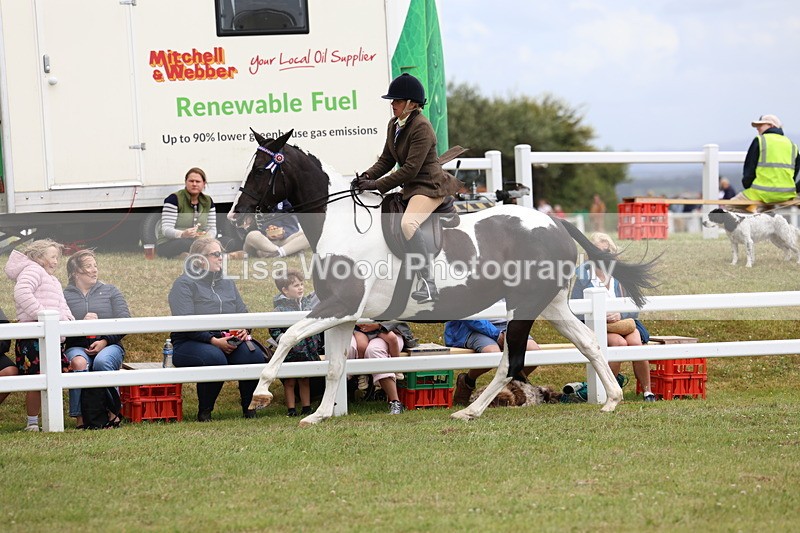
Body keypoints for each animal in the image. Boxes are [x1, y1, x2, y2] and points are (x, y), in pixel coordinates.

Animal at [229, 129, 657, 427]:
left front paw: (261, 394)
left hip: (523, 306)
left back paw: (469, 412)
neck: (340, 225)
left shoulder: (341, 305)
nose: (236, 215)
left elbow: (289, 336)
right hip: (550, 305)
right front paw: (318, 415)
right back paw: (611, 399)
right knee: (588, 342)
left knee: (511, 361)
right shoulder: (344, 314)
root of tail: (555, 223)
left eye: (262, 170)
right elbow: (334, 364)